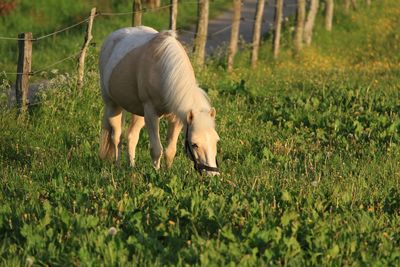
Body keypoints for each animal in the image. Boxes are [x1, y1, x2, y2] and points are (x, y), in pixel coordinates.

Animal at [99, 25, 220, 176]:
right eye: (194, 144)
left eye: (216, 141)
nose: (213, 174)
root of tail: (112, 37)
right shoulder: (151, 114)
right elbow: (156, 149)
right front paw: (156, 173)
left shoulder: (176, 118)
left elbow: (170, 150)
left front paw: (167, 173)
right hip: (112, 105)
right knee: (116, 137)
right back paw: (117, 166)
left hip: (139, 113)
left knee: (131, 136)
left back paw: (131, 166)